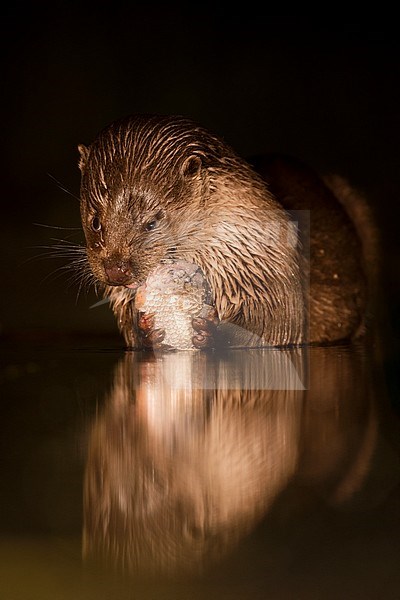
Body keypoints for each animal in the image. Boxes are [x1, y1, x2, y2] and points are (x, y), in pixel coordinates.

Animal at [78, 113, 378, 346]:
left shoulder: (270, 270)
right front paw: (145, 332)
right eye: (96, 221)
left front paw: (214, 332)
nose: (116, 269)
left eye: (152, 222)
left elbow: (274, 324)